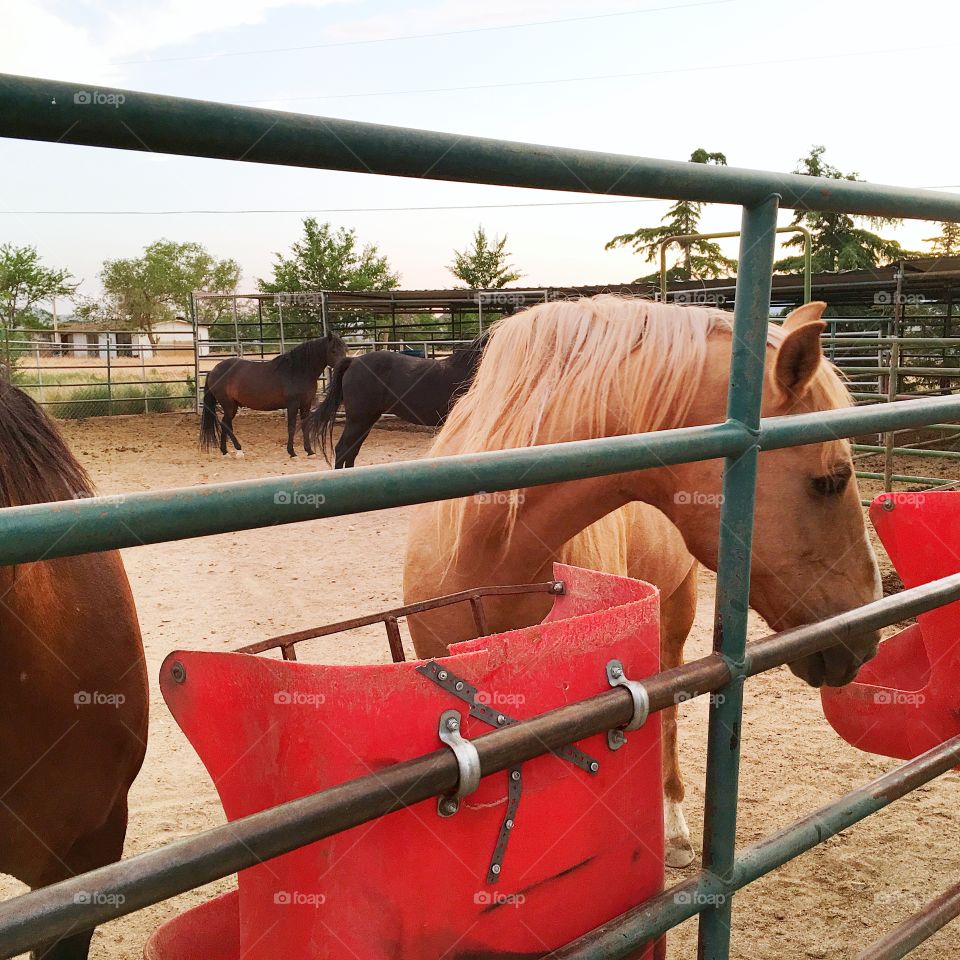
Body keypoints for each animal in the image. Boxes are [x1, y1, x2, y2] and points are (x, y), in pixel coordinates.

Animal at [199, 334, 344, 458]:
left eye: (344, 349)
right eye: (333, 350)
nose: (342, 367)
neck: (297, 371)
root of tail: (213, 371)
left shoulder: (306, 405)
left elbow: (305, 426)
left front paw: (309, 451)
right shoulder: (292, 405)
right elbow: (291, 427)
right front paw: (292, 452)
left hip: (233, 406)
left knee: (225, 424)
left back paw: (225, 452)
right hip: (228, 405)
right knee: (226, 424)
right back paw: (239, 450)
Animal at [402, 294, 880, 872]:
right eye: (831, 481)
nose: (866, 633)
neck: (490, 551)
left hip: (676, 613)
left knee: (670, 713)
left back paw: (673, 827)